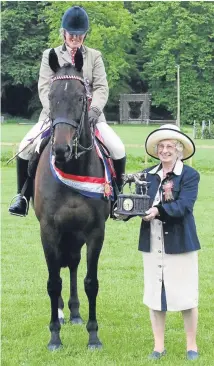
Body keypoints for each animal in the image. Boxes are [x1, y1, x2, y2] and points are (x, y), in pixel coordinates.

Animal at [33, 48, 111, 352]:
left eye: (81, 97)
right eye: (51, 97)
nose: (62, 149)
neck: (73, 168)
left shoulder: (95, 232)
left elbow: (91, 282)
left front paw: (93, 335)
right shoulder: (49, 231)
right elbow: (53, 282)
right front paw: (54, 336)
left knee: (75, 265)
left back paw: (75, 313)